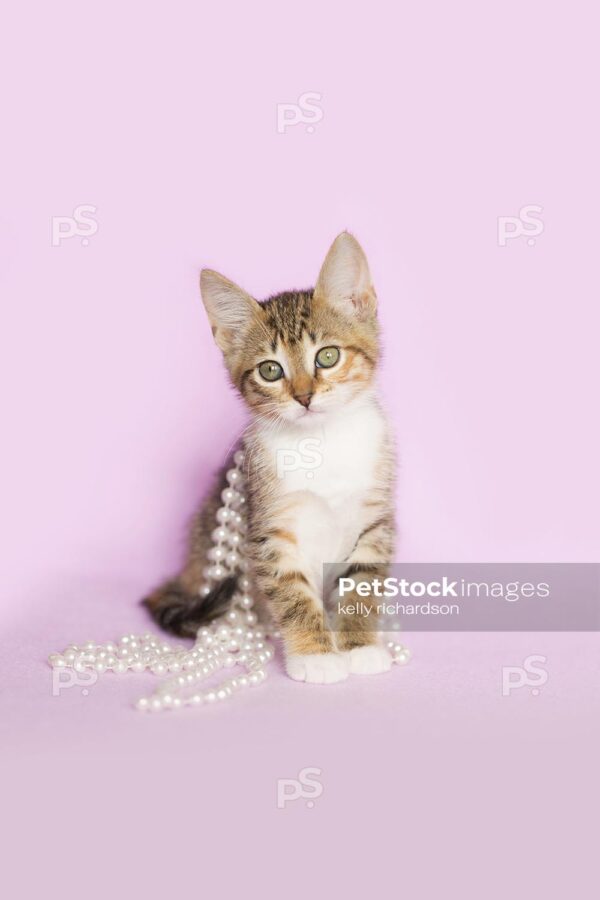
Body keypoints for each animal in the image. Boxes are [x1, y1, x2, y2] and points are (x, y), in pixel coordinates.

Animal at [143, 232, 396, 684]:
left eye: (327, 356)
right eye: (270, 370)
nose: (304, 396)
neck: (321, 443)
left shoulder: (374, 520)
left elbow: (362, 586)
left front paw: (360, 646)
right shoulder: (269, 529)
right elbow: (293, 593)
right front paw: (315, 655)